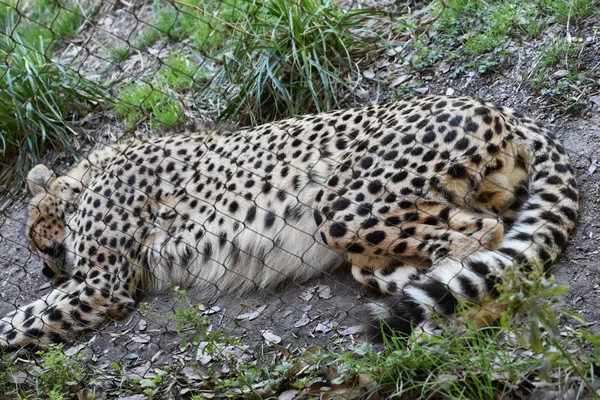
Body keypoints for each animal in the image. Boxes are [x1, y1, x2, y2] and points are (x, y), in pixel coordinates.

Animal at [1, 94, 580, 346]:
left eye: (37, 245)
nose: (47, 271)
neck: (87, 176)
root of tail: (488, 103)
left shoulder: (102, 282)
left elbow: (19, 323)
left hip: (341, 208)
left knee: (481, 234)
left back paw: (455, 321)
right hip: (369, 234)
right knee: (459, 256)